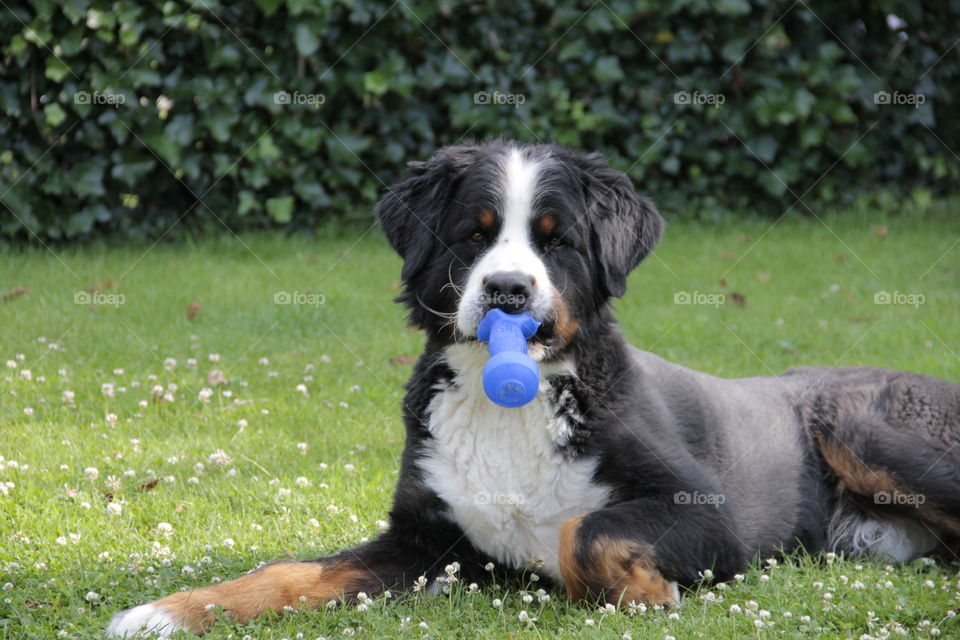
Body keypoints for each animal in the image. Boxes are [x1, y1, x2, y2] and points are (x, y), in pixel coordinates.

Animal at [105, 142, 960, 636]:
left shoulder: (711, 516)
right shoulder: (422, 538)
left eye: (557, 240)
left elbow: (584, 531)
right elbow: (288, 573)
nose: (509, 291)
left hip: (863, 429)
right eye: (474, 233)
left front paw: (642, 590)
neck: (505, 404)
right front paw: (167, 612)